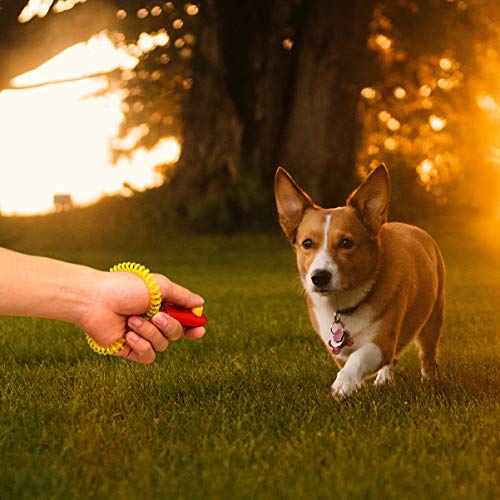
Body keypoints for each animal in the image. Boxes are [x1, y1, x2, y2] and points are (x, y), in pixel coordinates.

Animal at [276, 166, 448, 400]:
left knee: (427, 354)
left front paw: (344, 383)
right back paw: (384, 380)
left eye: (346, 243)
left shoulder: (382, 341)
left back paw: (429, 380)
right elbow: (350, 360)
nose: (319, 277)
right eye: (307, 243)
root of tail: (413, 227)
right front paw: (357, 387)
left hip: (432, 320)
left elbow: (360, 357)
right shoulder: (336, 349)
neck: (344, 305)